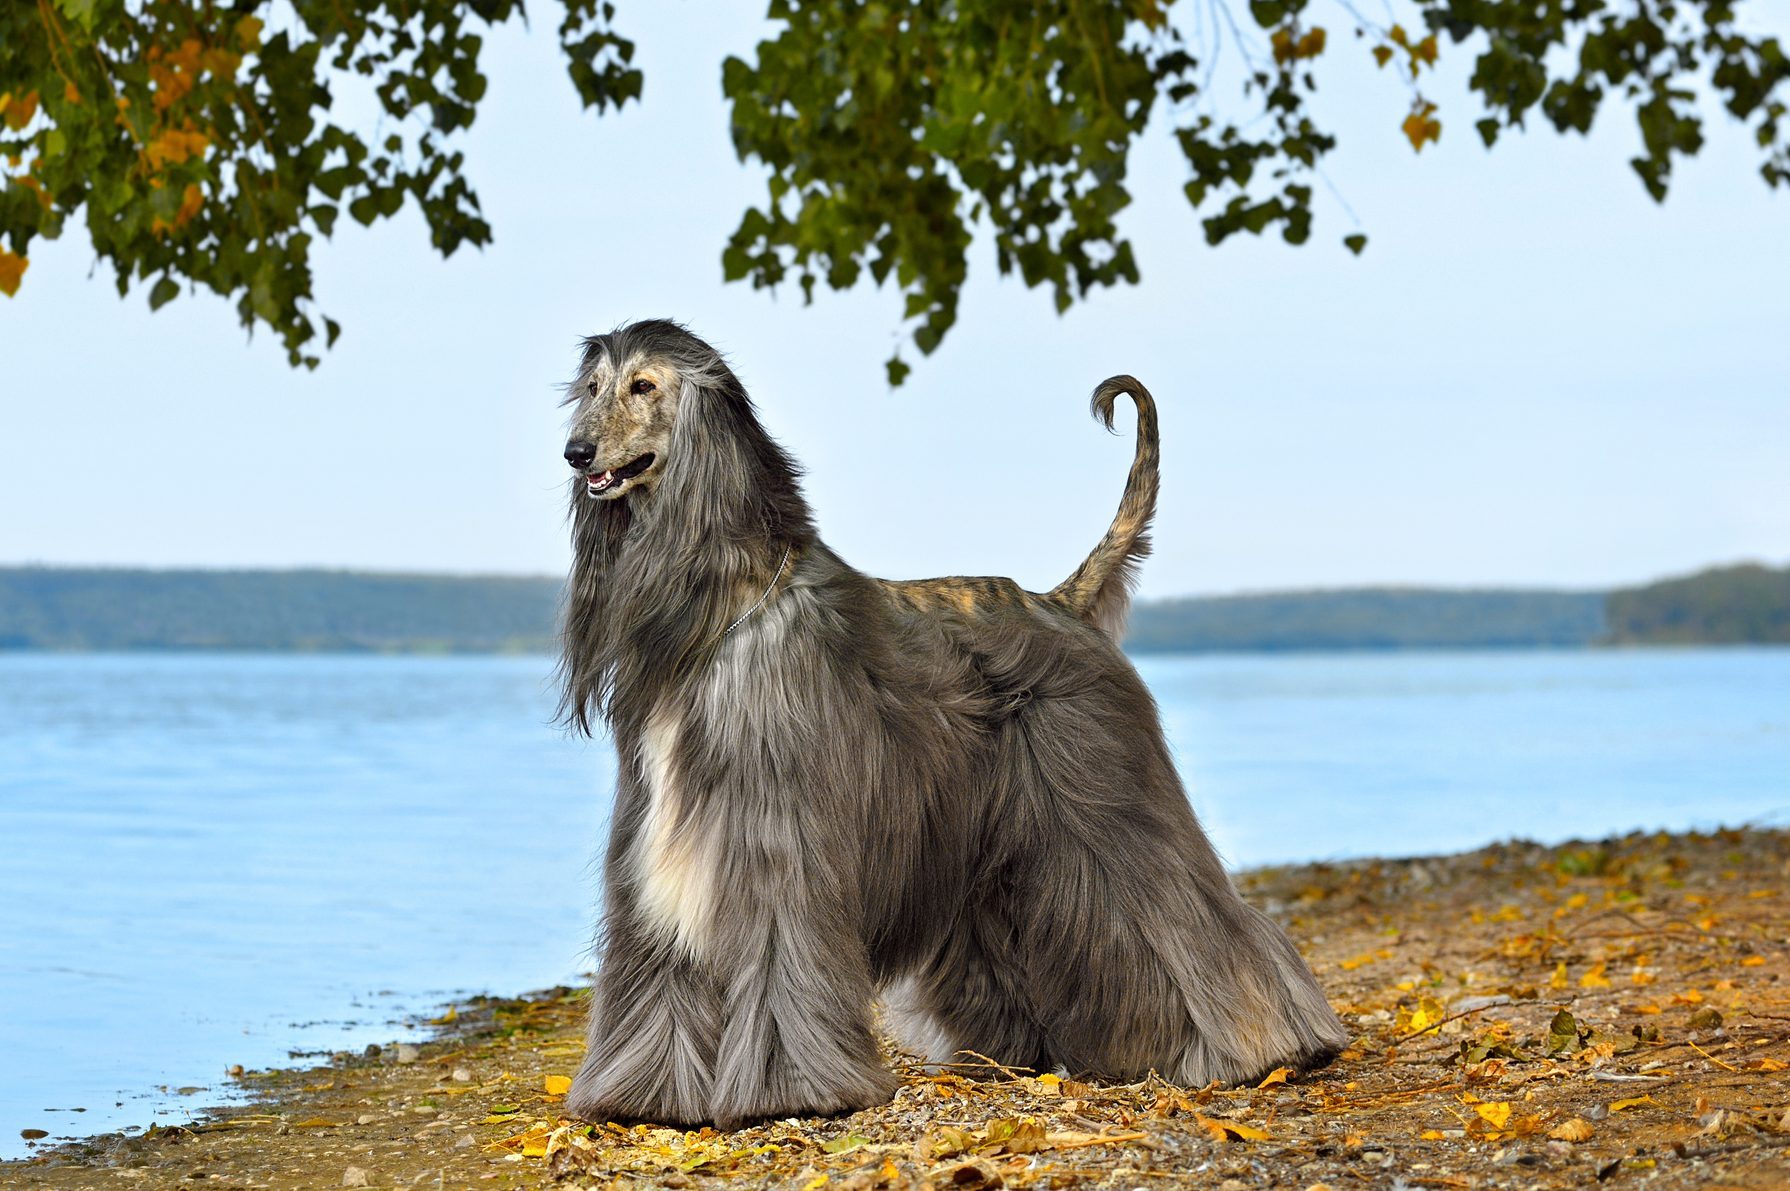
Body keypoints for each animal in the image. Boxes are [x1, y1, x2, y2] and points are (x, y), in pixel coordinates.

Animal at [558, 320, 1346, 1131]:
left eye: (644, 386)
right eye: (591, 388)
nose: (577, 453)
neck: (727, 608)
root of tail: (1062, 600)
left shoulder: (777, 839)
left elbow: (779, 960)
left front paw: (790, 1090)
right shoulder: (658, 846)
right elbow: (660, 969)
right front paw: (645, 1094)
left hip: (1108, 795)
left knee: (1191, 918)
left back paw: (1265, 1045)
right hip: (993, 836)